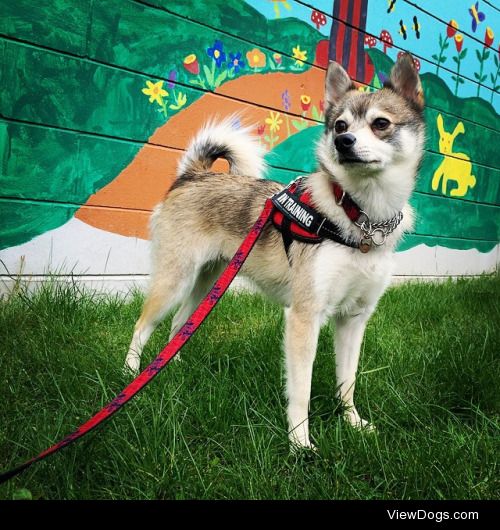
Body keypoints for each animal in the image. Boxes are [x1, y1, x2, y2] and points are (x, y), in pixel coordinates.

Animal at [125, 53, 426, 448]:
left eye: (380, 124)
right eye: (339, 125)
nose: (343, 142)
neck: (359, 216)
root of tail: (194, 175)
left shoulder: (354, 319)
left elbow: (348, 381)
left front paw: (353, 423)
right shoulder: (303, 317)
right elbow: (301, 390)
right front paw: (300, 443)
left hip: (207, 283)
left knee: (179, 325)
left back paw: (171, 368)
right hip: (175, 280)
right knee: (142, 325)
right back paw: (130, 374)